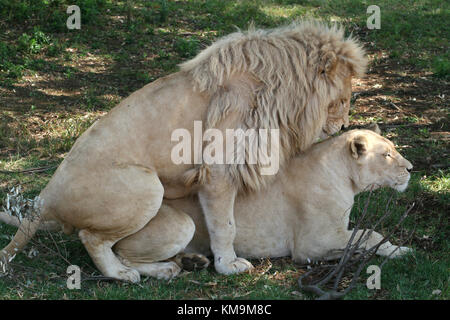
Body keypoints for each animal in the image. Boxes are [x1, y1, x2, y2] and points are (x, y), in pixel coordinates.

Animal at [0, 21, 366, 282]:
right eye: (342, 100)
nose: (344, 126)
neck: (282, 89)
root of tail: (45, 196)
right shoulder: (218, 170)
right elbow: (226, 225)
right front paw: (228, 265)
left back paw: (176, 265)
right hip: (147, 186)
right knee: (91, 237)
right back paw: (122, 274)